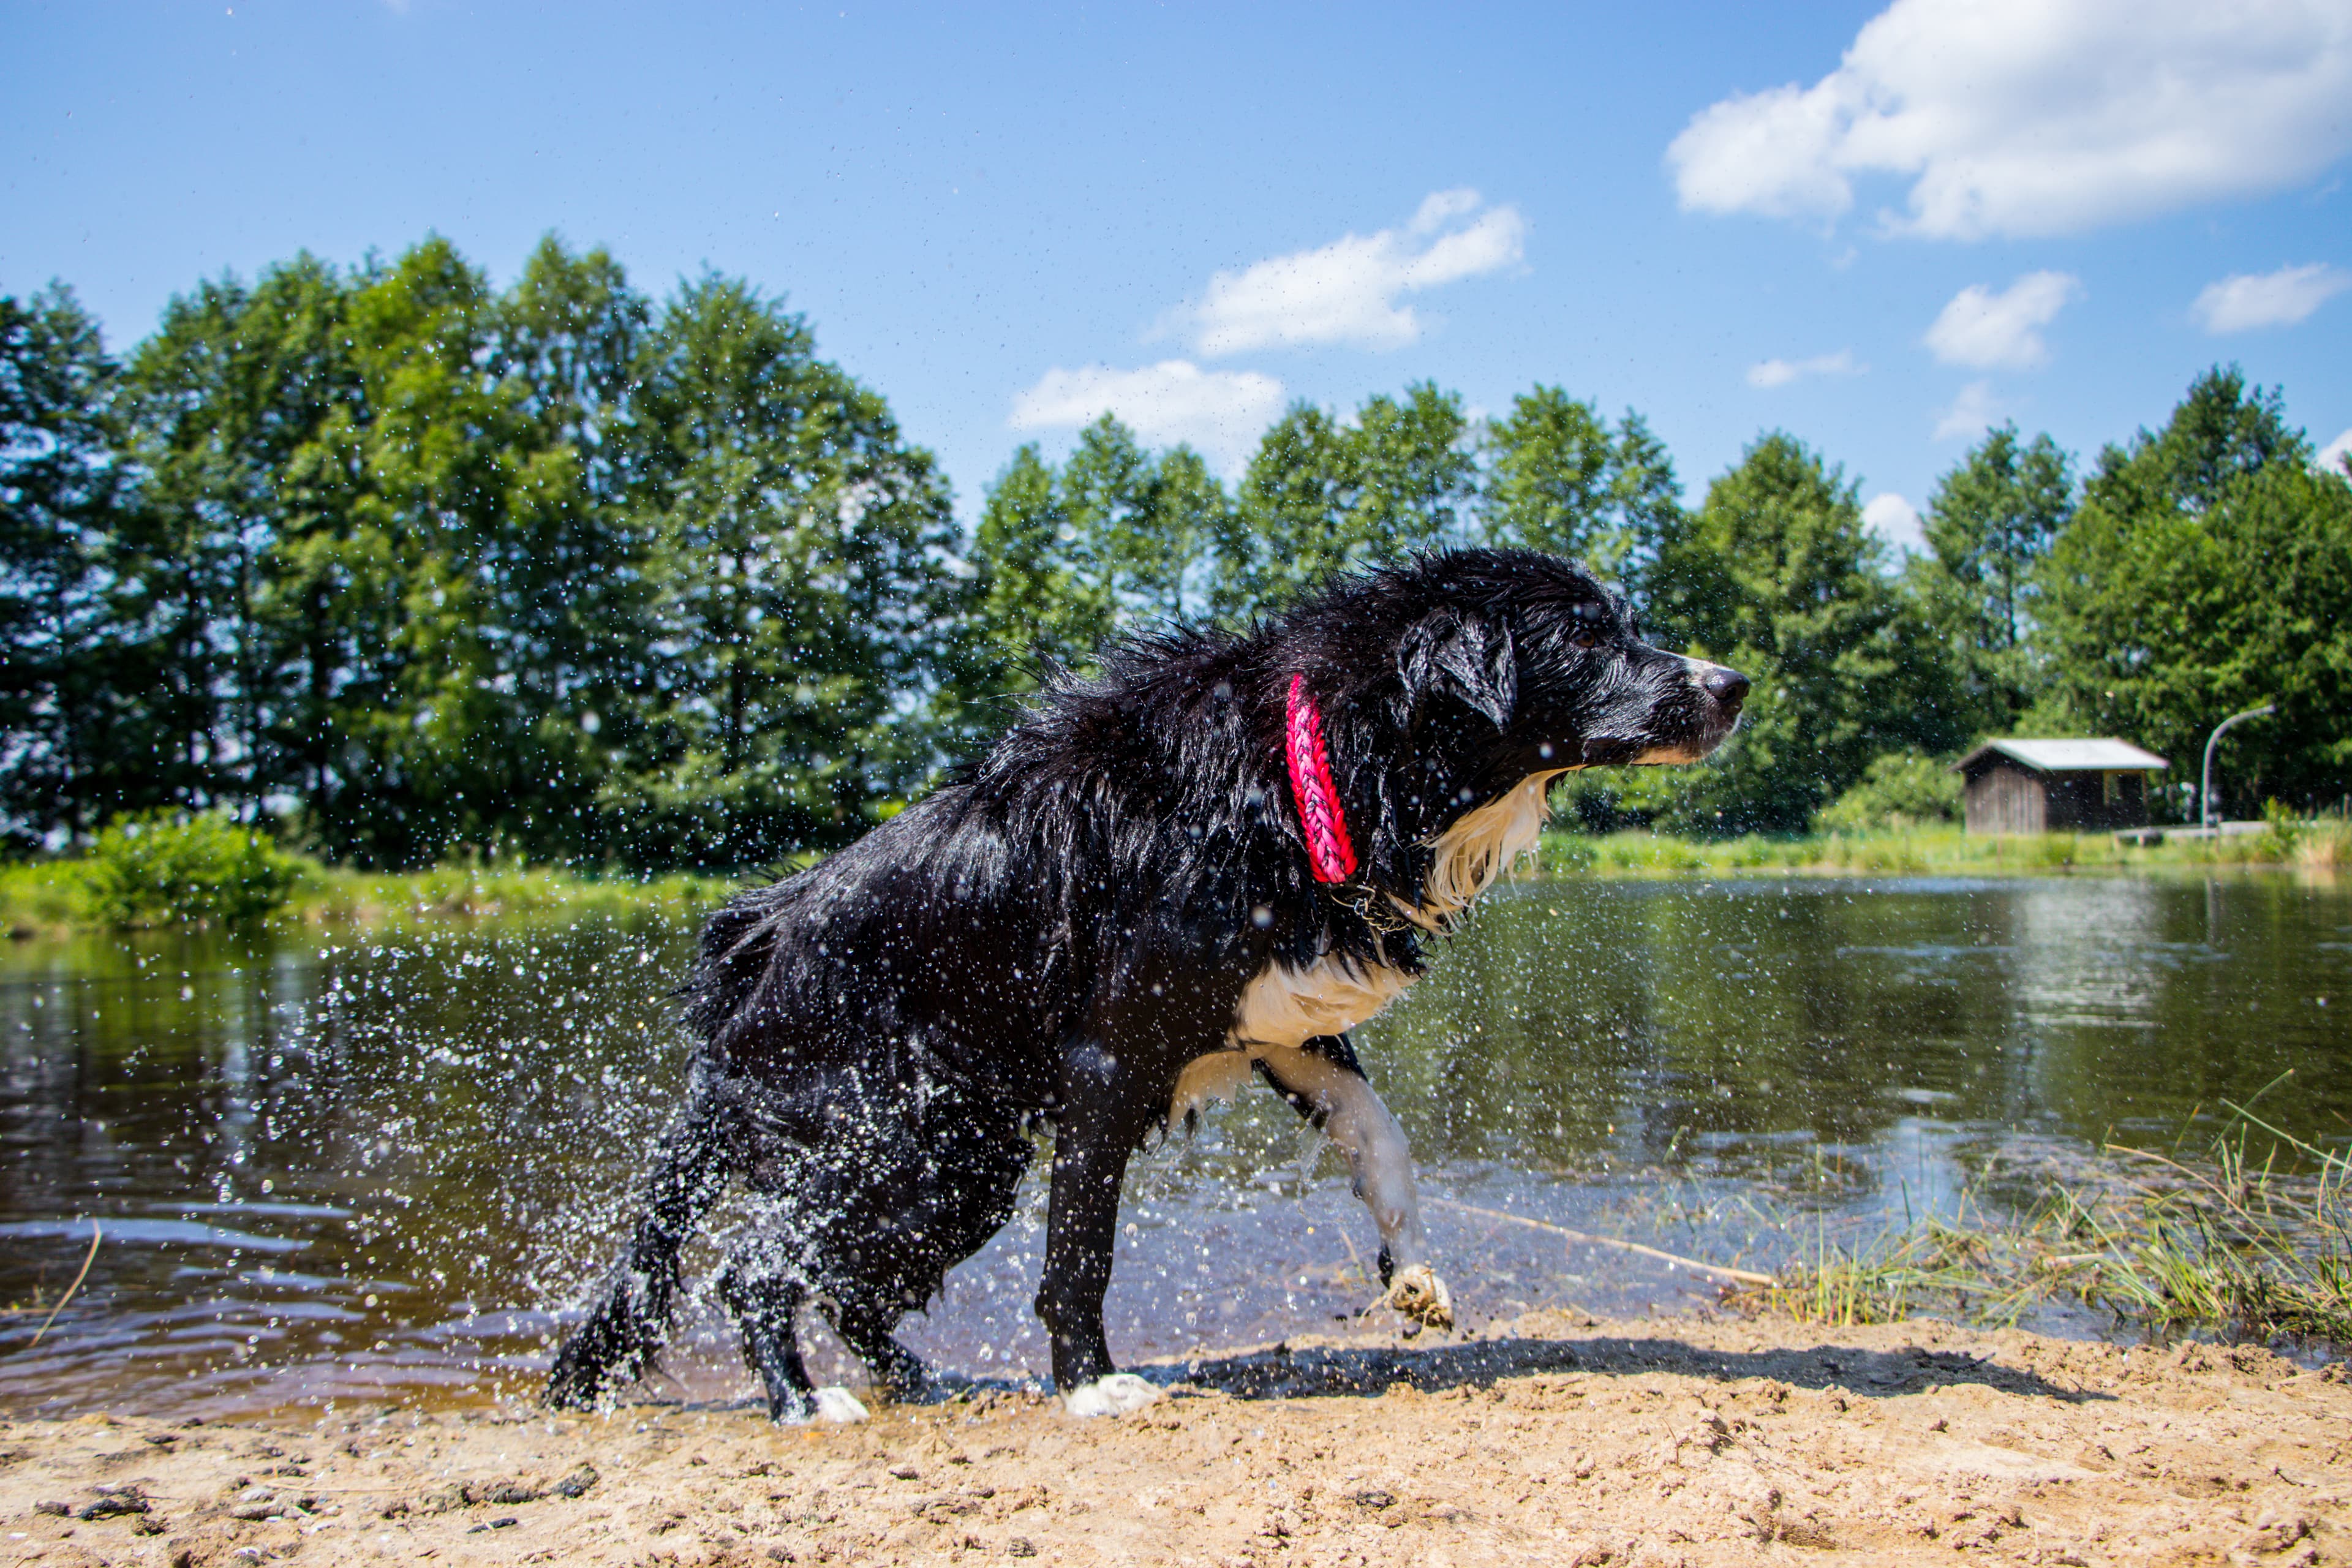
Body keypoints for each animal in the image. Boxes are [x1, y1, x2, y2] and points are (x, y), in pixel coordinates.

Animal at [541, 550, 1740, 1420]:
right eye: (1587, 636)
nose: (1733, 685)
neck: (1302, 769)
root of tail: (754, 948)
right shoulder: (1109, 1060)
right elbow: (1083, 1246)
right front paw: (1089, 1385)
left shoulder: (1280, 1022)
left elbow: (1382, 1140)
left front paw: (1410, 1269)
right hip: (902, 1142)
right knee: (757, 1265)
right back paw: (802, 1404)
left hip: (958, 1161)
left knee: (841, 1278)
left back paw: (919, 1382)